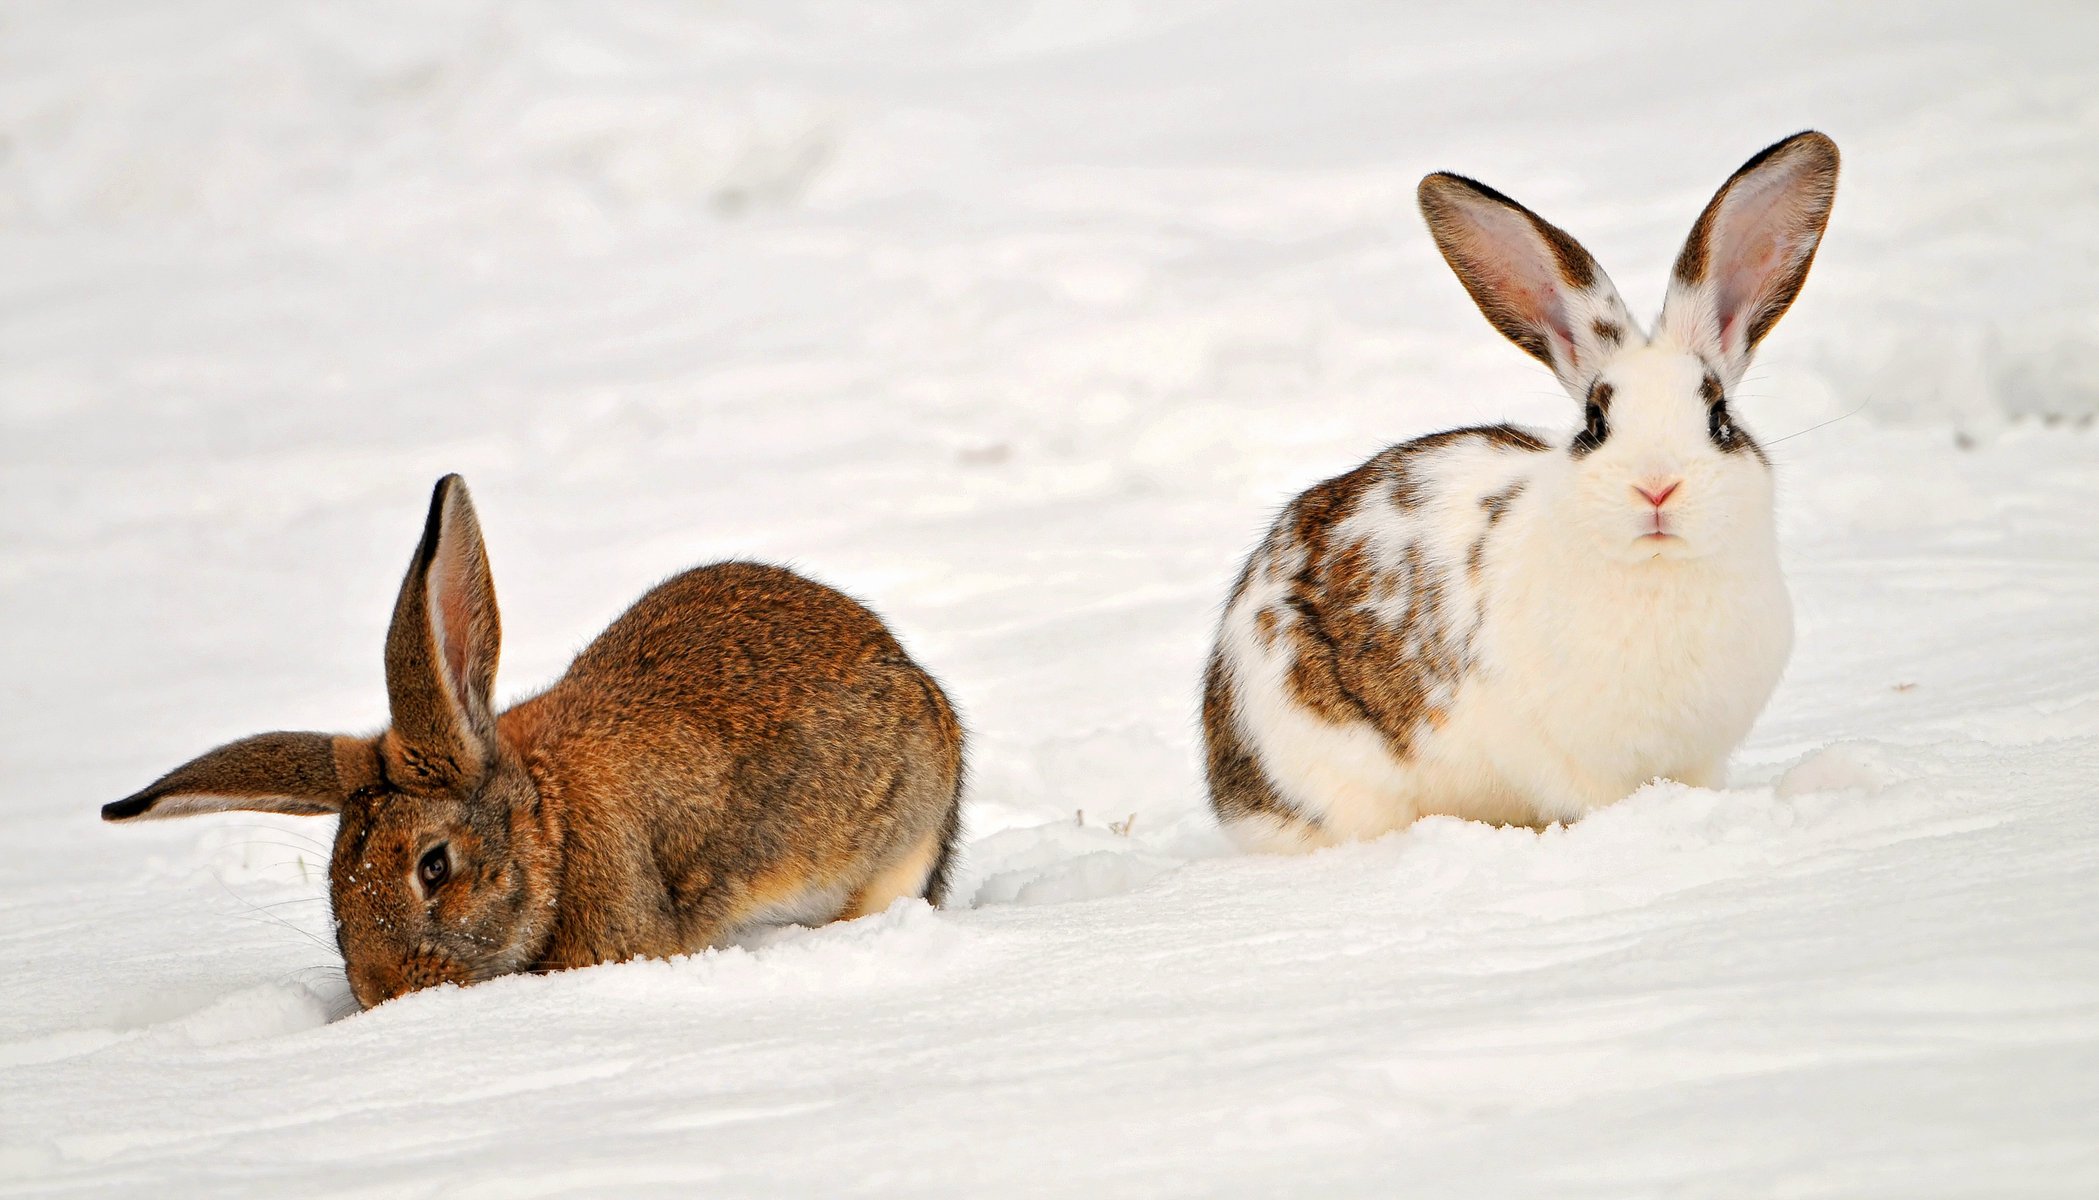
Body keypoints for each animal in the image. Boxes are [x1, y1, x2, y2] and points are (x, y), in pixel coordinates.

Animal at [1202, 132, 1839, 852]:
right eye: (1595, 423)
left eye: (1718, 418)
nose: (1656, 489)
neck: (1657, 574)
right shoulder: (1566, 760)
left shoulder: (1699, 755)